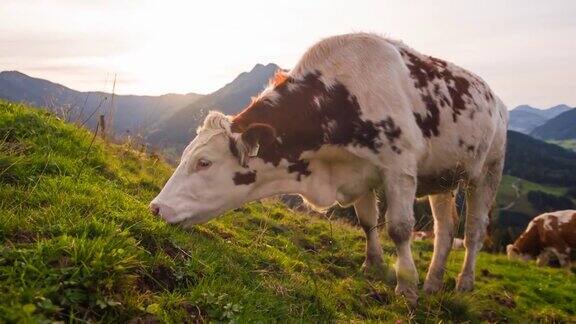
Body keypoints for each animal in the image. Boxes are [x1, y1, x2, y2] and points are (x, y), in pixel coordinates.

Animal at [151, 33, 506, 304]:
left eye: (204, 162)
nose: (155, 207)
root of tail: (495, 97)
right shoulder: (361, 173)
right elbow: (367, 222)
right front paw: (373, 265)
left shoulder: (399, 166)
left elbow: (399, 227)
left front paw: (406, 285)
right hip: (444, 177)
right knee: (445, 228)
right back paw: (433, 282)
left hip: (489, 170)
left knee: (474, 231)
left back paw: (463, 284)